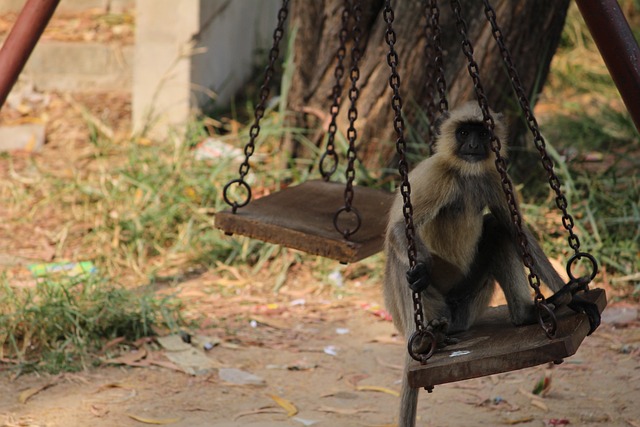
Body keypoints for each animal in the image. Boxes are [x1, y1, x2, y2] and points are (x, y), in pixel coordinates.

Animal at [384, 103, 600, 427]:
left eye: (482, 133)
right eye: (464, 132)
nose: (474, 145)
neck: (465, 173)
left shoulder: (495, 177)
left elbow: (516, 231)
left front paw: (575, 296)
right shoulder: (436, 174)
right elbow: (399, 229)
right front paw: (419, 270)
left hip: (467, 306)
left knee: (497, 230)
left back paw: (527, 314)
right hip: (428, 307)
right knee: (402, 266)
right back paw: (423, 341)